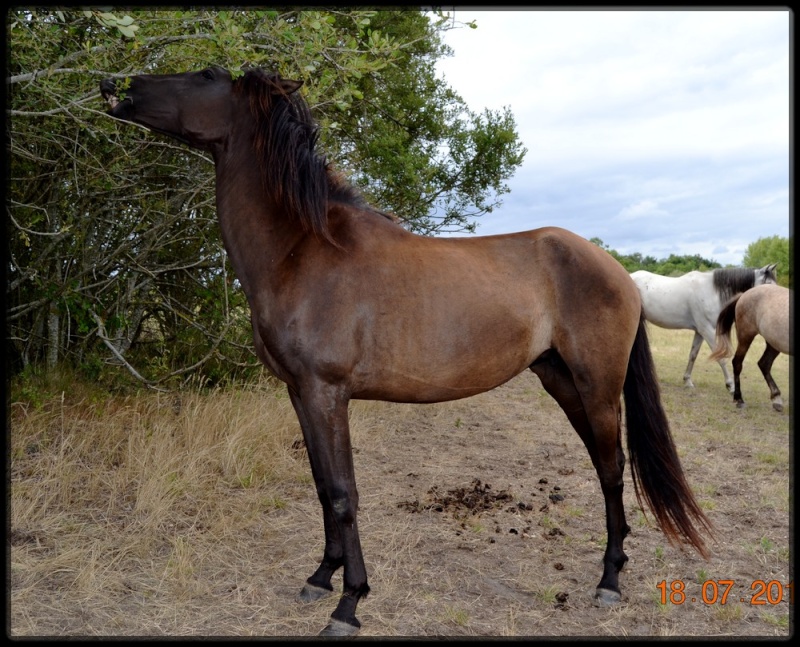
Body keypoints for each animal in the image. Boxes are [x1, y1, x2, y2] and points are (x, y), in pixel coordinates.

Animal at [101, 67, 712, 636]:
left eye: (204, 76)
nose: (114, 85)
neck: (303, 251)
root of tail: (619, 271)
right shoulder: (300, 395)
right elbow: (322, 487)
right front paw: (320, 577)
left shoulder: (326, 394)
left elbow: (343, 493)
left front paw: (349, 604)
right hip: (561, 380)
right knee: (605, 464)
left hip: (598, 386)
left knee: (611, 469)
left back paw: (608, 580)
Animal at [632, 266, 776, 392]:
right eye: (768, 283)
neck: (712, 292)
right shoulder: (707, 330)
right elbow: (721, 358)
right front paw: (731, 386)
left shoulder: (700, 332)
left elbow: (693, 355)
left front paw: (687, 381)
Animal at [708, 284, 792, 416]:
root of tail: (744, 294)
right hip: (745, 337)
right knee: (737, 363)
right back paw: (739, 399)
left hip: (773, 343)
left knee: (764, 364)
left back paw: (776, 400)